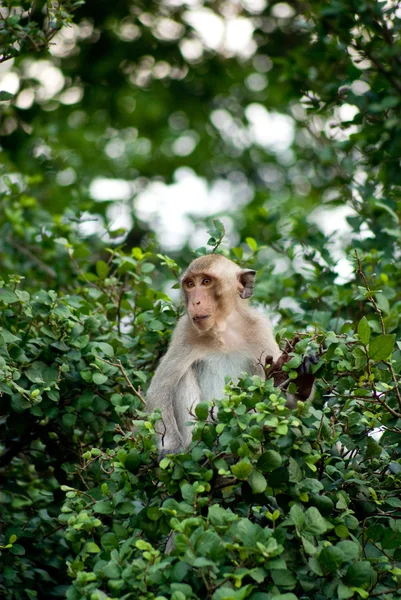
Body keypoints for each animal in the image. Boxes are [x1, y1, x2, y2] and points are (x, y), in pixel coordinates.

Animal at [146, 253, 282, 454]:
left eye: (206, 282)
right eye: (190, 284)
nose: (195, 302)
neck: (223, 332)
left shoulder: (260, 329)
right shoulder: (184, 332)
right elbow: (159, 390)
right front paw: (172, 446)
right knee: (184, 375)